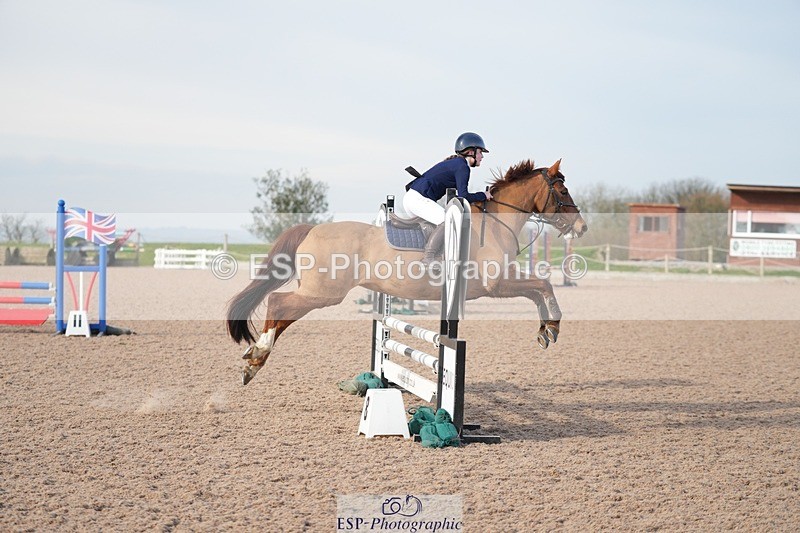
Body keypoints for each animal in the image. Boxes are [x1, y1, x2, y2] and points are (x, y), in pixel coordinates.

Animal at [227, 159, 588, 384]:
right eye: (563, 191)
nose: (582, 227)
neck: (497, 222)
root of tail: (311, 229)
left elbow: (539, 288)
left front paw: (545, 330)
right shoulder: (496, 283)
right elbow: (542, 284)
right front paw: (552, 327)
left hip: (318, 292)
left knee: (281, 310)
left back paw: (253, 360)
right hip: (323, 293)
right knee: (278, 302)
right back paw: (258, 355)